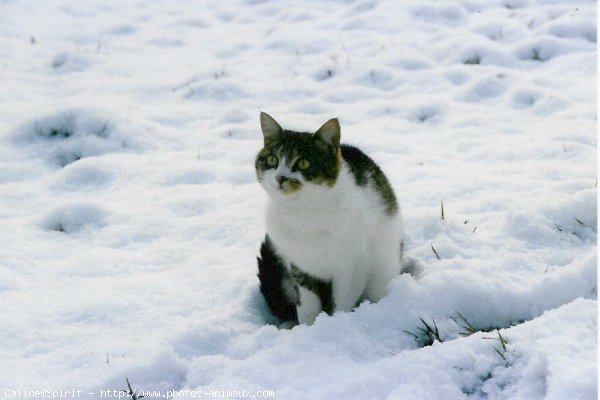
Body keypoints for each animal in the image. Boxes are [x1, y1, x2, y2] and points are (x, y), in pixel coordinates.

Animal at [255, 111, 406, 324]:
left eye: (303, 162)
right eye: (271, 160)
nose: (280, 178)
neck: (303, 213)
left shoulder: (352, 266)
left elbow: (342, 301)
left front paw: (336, 323)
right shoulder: (299, 267)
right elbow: (308, 306)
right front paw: (309, 328)